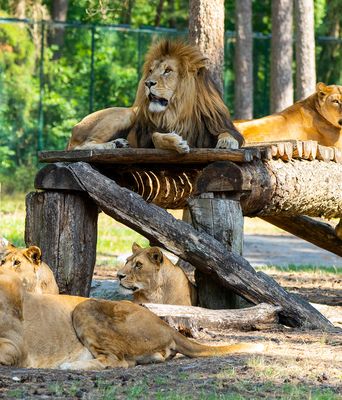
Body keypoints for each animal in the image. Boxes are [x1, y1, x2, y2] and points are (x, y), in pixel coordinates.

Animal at [0, 248, 264, 370]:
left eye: (16, 263)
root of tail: (164, 325)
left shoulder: (16, 347)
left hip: (85, 308)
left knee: (118, 362)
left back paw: (69, 366)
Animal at [67, 40, 243, 153]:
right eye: (151, 70)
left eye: (167, 71)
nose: (148, 83)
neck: (179, 111)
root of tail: (75, 126)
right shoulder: (148, 137)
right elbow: (157, 137)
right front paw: (176, 142)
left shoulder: (219, 124)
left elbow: (228, 133)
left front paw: (227, 141)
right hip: (128, 113)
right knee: (79, 147)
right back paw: (111, 145)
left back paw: (119, 143)